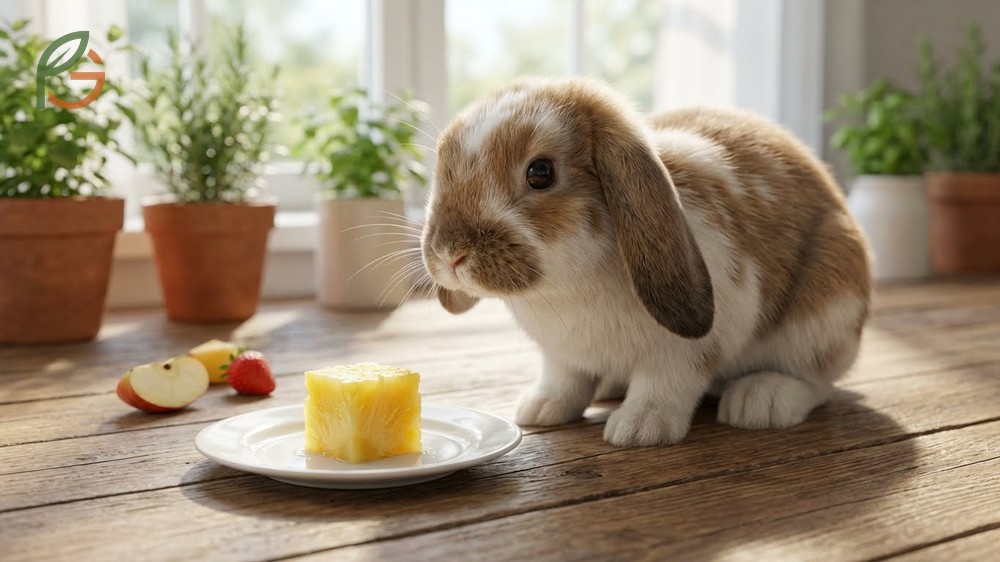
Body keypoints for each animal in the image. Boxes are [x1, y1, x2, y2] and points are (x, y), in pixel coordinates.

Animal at [420, 77, 872, 447]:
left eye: (540, 173)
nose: (451, 254)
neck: (569, 286)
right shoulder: (560, 356)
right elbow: (563, 380)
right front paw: (540, 408)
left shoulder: (687, 349)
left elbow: (664, 384)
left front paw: (639, 428)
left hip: (826, 314)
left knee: (817, 379)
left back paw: (761, 399)